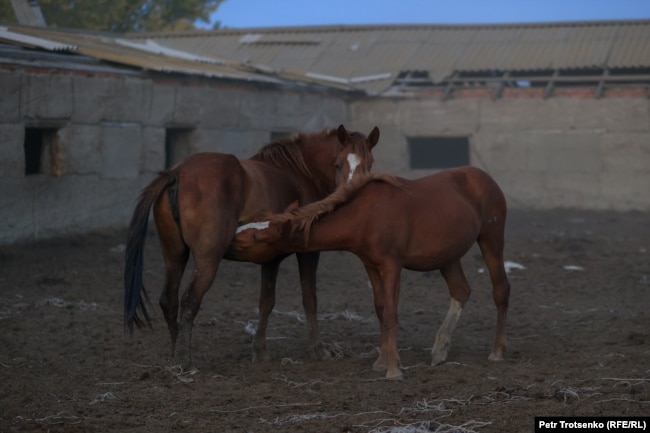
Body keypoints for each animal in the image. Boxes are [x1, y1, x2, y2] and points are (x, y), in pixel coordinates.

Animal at [123, 124, 378, 368]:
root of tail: (177, 172)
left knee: (169, 300)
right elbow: (309, 299)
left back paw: (175, 355)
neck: (300, 174)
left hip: (174, 254)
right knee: (189, 301)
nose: (351, 195)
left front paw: (259, 350)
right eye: (337, 163)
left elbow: (266, 302)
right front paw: (318, 350)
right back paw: (185, 361)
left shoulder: (271, 257)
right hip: (207, 260)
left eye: (370, 165)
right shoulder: (308, 253)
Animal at [230, 167, 508, 376]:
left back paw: (496, 352)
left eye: (254, 238)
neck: (368, 215)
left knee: (500, 291)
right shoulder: (371, 267)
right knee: (461, 290)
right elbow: (381, 310)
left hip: (491, 240)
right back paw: (440, 348)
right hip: (447, 258)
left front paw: (394, 370)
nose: (228, 242)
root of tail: (484, 178)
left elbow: (391, 314)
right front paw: (382, 362)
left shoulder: (391, 266)